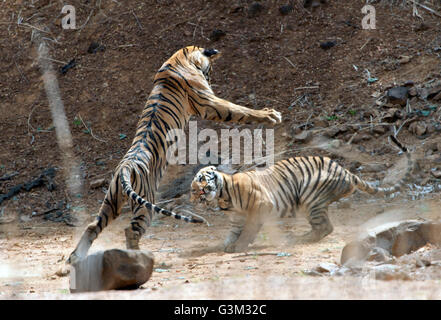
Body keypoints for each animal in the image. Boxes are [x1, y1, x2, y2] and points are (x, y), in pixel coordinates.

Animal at [190, 136, 412, 254]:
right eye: (193, 189)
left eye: (201, 179)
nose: (198, 193)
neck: (223, 197)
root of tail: (346, 171)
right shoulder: (237, 218)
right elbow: (233, 233)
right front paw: (226, 245)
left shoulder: (261, 205)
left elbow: (248, 230)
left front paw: (238, 247)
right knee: (325, 226)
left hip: (309, 197)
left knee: (325, 227)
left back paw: (297, 239)